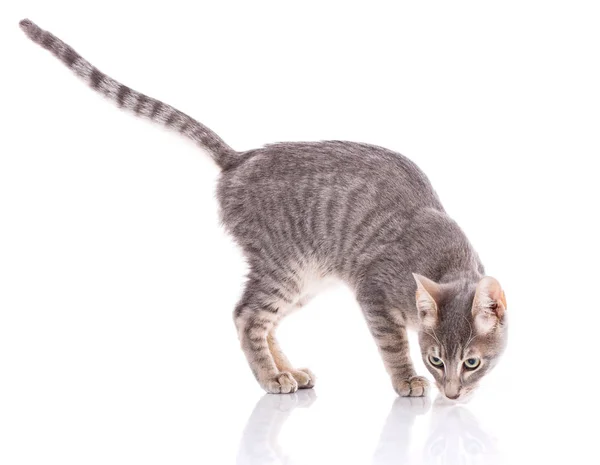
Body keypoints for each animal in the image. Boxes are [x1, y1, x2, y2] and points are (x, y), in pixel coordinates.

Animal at [17, 20, 506, 398]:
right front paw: (406, 380)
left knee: (262, 321)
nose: (452, 394)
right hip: (284, 266)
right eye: (436, 360)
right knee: (246, 316)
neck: (443, 262)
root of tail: (240, 158)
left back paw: (288, 371)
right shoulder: (373, 291)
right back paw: (272, 378)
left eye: (472, 363)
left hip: (303, 279)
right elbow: (392, 344)